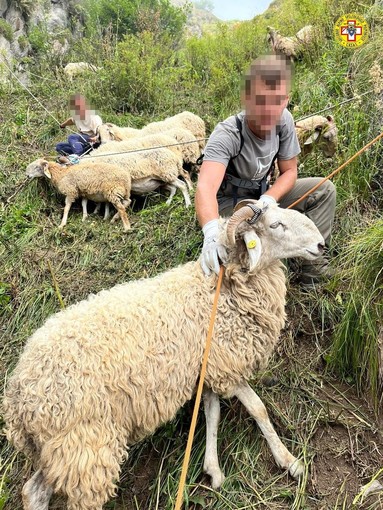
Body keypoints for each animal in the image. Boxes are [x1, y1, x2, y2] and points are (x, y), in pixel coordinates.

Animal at [4, 201, 326, 508]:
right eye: (276, 224)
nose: (322, 244)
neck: (220, 287)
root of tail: (18, 393)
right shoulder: (227, 366)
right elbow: (258, 408)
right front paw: (290, 461)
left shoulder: (209, 367)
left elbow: (211, 412)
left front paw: (213, 470)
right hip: (88, 445)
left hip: (58, 448)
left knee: (33, 491)